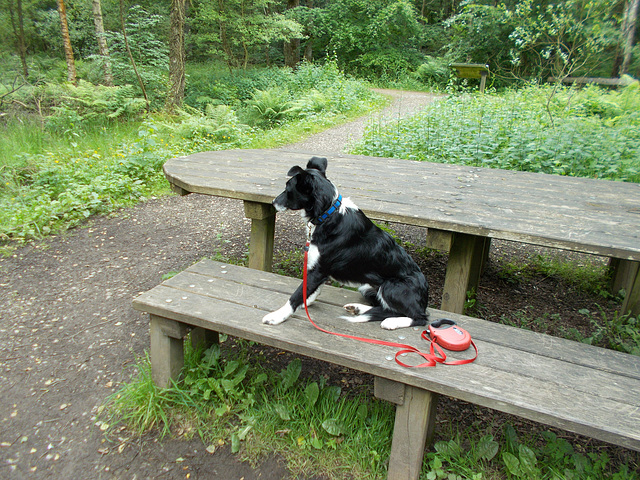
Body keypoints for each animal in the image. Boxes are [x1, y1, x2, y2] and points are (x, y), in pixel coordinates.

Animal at [260, 158, 430, 330]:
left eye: (288, 189)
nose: (273, 203)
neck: (328, 214)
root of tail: (424, 299)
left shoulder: (318, 270)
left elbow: (296, 295)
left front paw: (277, 316)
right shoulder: (318, 269)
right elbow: (311, 290)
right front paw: (307, 301)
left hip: (390, 286)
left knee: (419, 317)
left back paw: (391, 322)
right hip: (366, 286)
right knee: (385, 308)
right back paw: (358, 308)